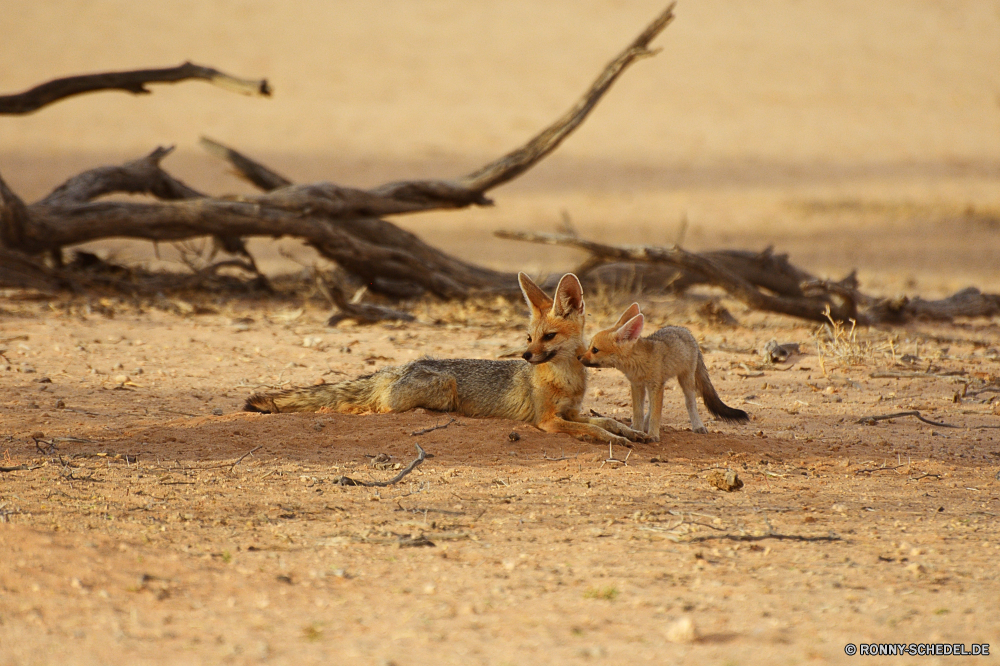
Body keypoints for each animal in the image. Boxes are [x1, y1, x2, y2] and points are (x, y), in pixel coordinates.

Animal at [246, 270, 644, 446]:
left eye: (549, 337)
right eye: (528, 337)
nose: (526, 355)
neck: (566, 379)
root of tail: (397, 367)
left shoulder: (572, 411)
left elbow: (605, 419)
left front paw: (629, 431)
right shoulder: (547, 420)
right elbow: (591, 428)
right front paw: (615, 439)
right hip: (444, 388)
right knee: (380, 406)